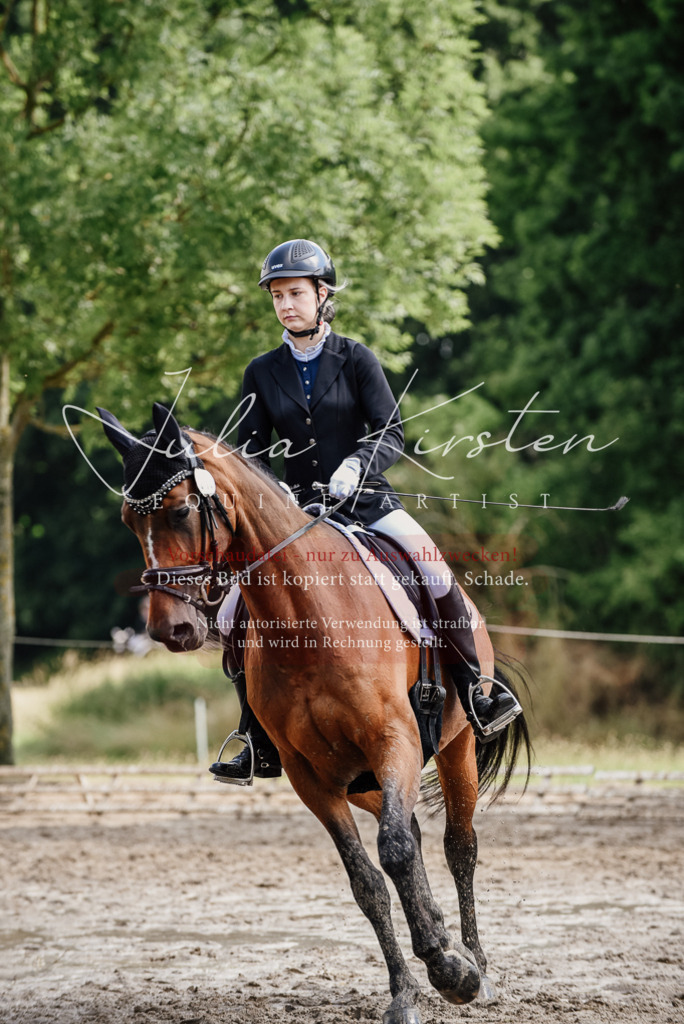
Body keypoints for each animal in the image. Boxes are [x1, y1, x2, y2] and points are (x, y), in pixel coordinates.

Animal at [99, 402, 530, 1024]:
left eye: (179, 511)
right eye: (130, 524)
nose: (169, 630)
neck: (307, 616)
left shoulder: (394, 740)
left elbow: (396, 852)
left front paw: (453, 974)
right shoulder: (311, 777)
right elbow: (367, 880)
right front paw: (407, 990)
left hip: (454, 748)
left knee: (457, 846)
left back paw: (476, 965)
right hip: (359, 780)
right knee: (411, 832)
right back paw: (443, 938)